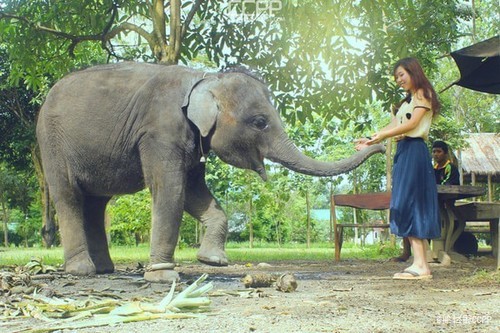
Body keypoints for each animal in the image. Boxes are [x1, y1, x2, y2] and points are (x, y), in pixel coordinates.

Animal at [37, 61, 384, 280]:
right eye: (260, 122)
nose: (375, 144)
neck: (205, 78)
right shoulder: (160, 132)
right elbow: (171, 190)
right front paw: (164, 277)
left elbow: (195, 193)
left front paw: (212, 261)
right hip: (52, 145)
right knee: (68, 196)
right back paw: (82, 271)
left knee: (96, 204)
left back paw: (105, 270)